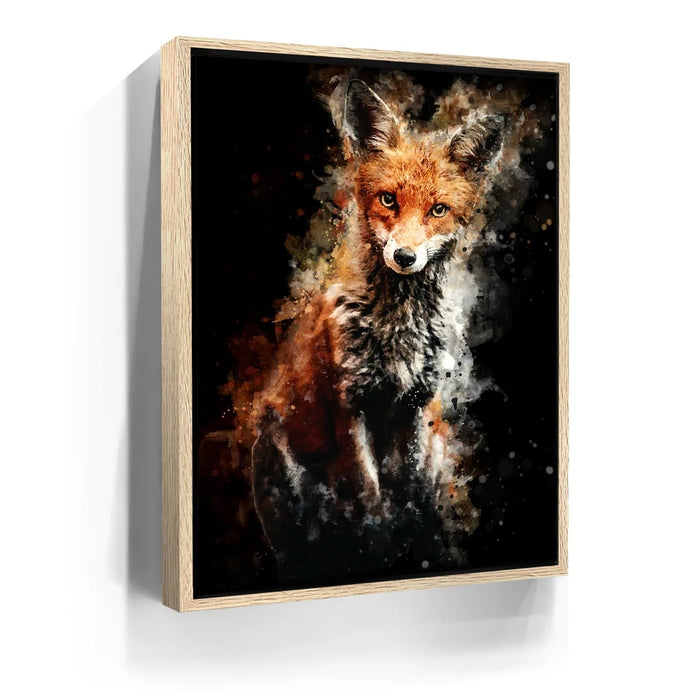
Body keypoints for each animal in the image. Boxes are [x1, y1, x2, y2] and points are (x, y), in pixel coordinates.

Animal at [251, 79, 504, 583]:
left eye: (438, 210)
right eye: (388, 200)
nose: (405, 256)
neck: (397, 329)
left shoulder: (416, 405)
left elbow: (412, 496)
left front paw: (421, 548)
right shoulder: (349, 406)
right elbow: (371, 497)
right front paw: (381, 549)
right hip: (278, 454)